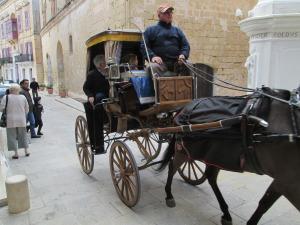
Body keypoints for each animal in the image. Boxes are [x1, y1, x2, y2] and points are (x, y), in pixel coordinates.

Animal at [158, 89, 298, 225]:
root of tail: (185, 107)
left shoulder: (283, 181)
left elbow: (264, 204)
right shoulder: (287, 182)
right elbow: (264, 204)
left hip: (213, 155)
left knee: (210, 177)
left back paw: (225, 213)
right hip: (183, 150)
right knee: (172, 167)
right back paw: (169, 195)